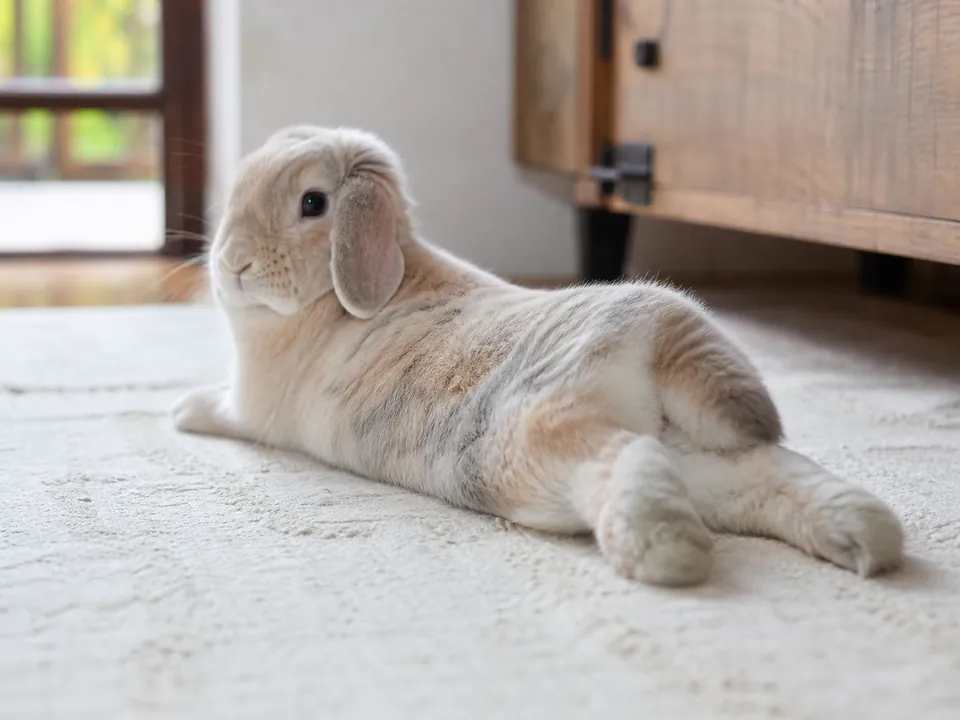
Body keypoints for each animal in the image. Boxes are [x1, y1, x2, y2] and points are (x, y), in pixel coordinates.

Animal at [172, 125, 904, 586]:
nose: (231, 264)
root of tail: (656, 332)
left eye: (313, 203)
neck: (327, 299)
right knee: (762, 475)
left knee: (625, 456)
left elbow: (220, 409)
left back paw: (667, 554)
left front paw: (181, 410)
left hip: (540, 438)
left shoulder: (252, 409)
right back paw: (866, 533)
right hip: (708, 459)